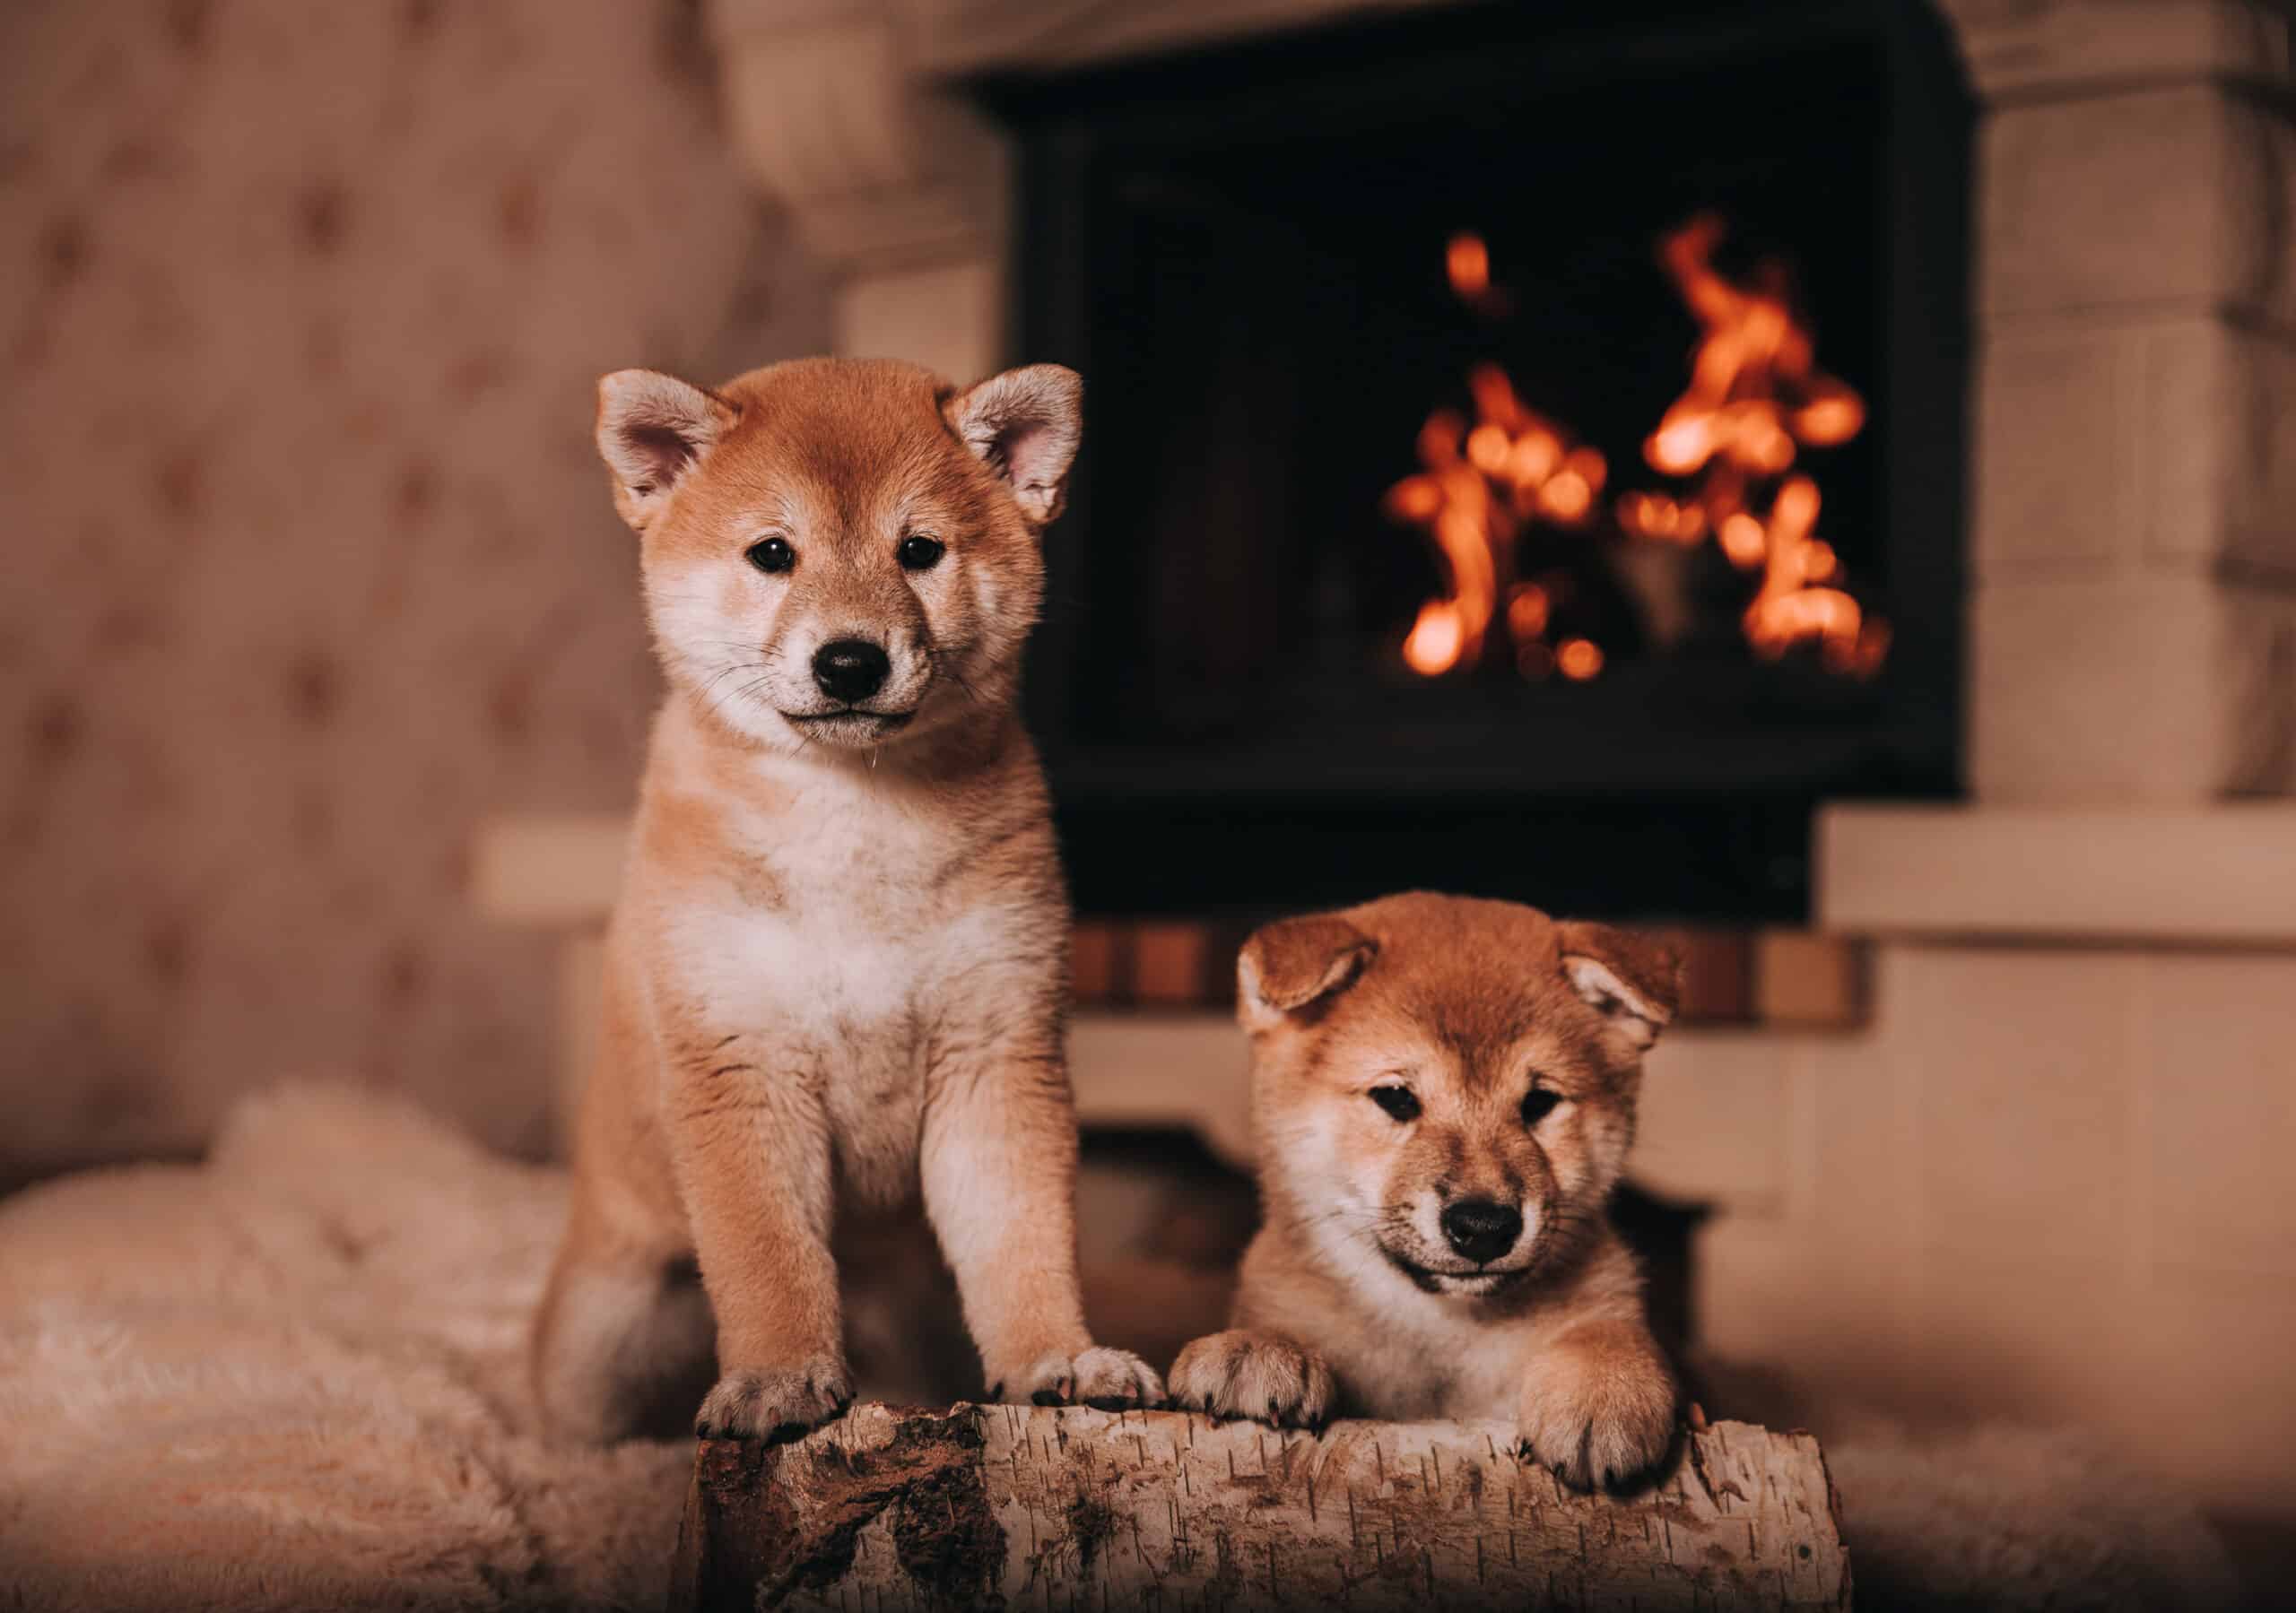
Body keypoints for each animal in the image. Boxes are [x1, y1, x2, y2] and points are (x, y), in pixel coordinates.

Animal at [526, 360, 1157, 1441]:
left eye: (920, 550)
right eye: (773, 553)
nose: (852, 661)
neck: (857, 822)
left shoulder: (997, 1050)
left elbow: (1023, 1237)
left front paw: (1058, 1356)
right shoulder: (741, 1058)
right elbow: (766, 1253)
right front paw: (779, 1376)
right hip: (599, 1332)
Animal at [1166, 895, 1690, 1487]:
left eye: (1539, 1103)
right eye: (1395, 1097)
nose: (1484, 1227)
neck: (1441, 1331)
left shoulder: (1612, 1299)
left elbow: (1608, 1332)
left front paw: (1606, 1387)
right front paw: (1260, 1350)